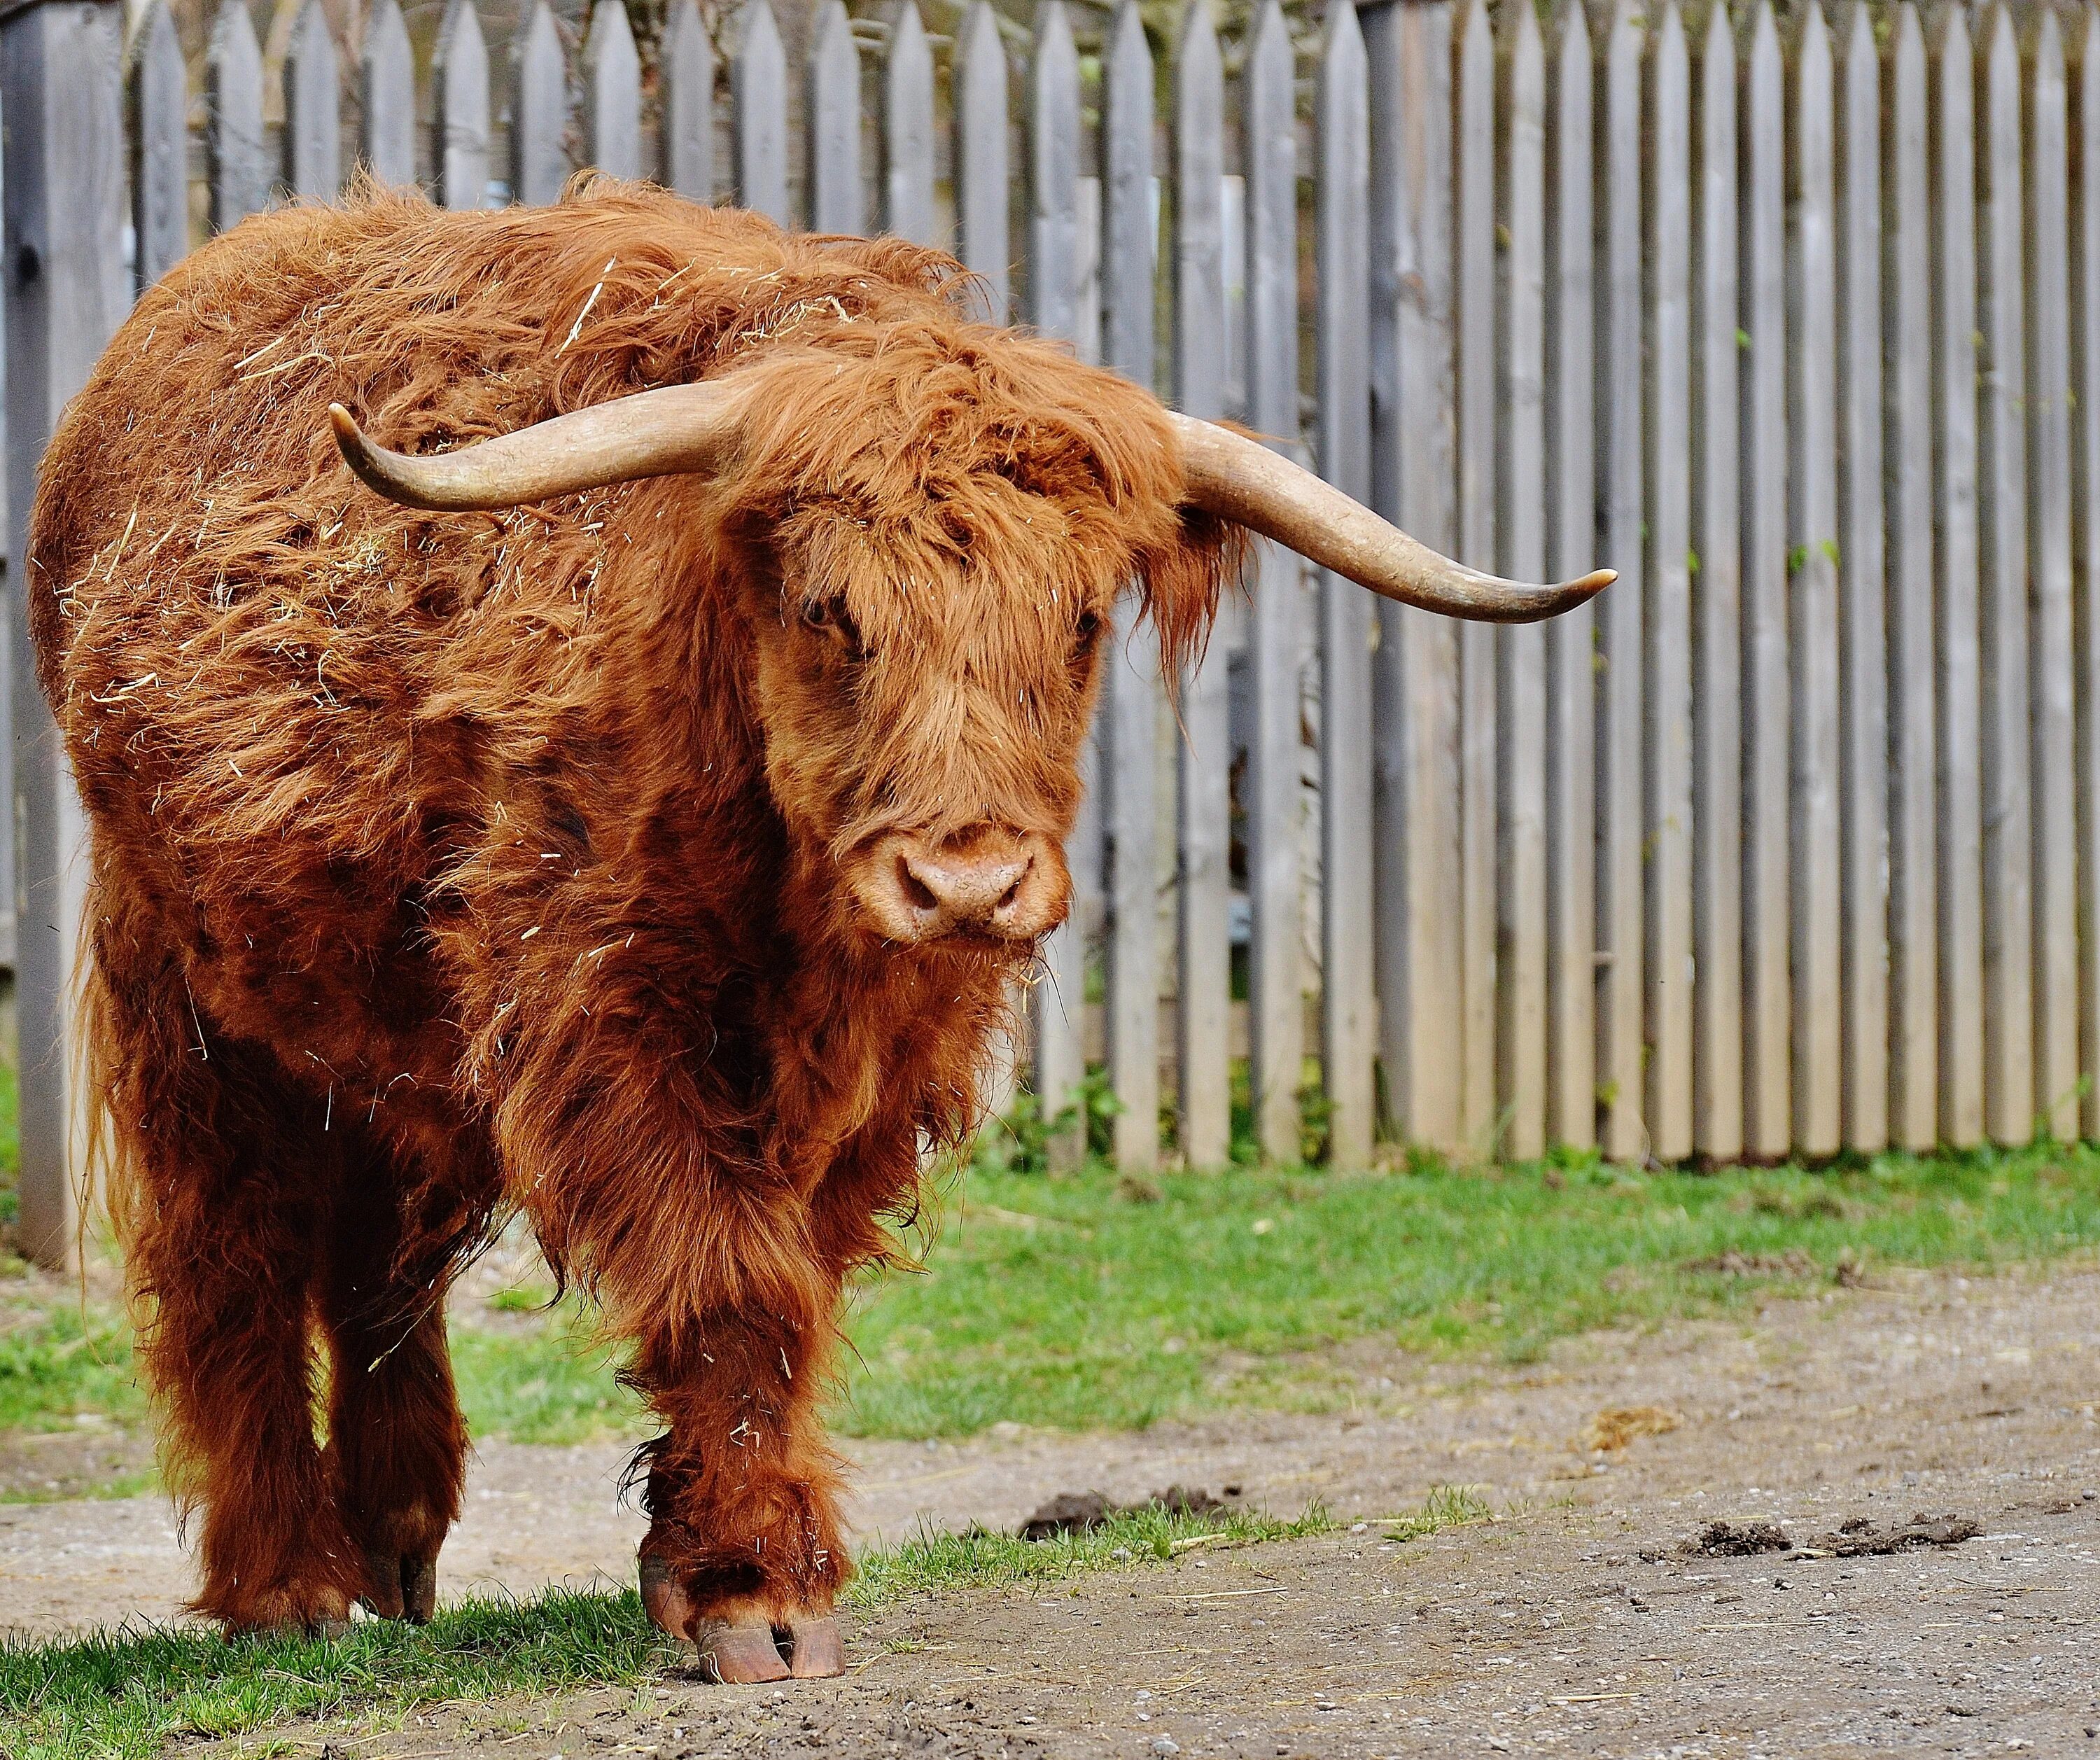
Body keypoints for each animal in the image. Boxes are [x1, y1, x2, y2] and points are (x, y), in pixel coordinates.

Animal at [29, 183, 1604, 1680]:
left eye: (1081, 619)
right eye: (826, 607)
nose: (964, 885)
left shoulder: (875, 1083)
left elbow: (787, 1295)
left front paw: (706, 1563)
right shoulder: (604, 1027)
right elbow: (728, 1284)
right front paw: (751, 1595)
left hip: (364, 1017)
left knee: (374, 1260)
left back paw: (399, 1546)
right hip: (182, 993)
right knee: (230, 1265)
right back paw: (285, 1590)